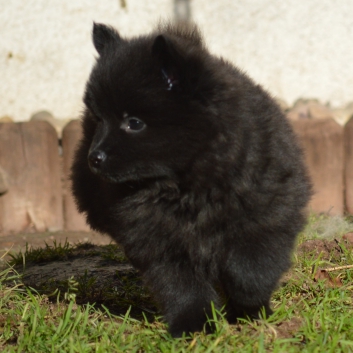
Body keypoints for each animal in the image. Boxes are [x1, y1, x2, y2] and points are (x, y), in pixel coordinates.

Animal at [71, 21, 308, 336]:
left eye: (134, 123)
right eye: (99, 119)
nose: (94, 158)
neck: (186, 186)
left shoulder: (267, 215)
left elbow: (249, 270)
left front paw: (250, 309)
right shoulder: (158, 240)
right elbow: (180, 285)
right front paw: (195, 325)